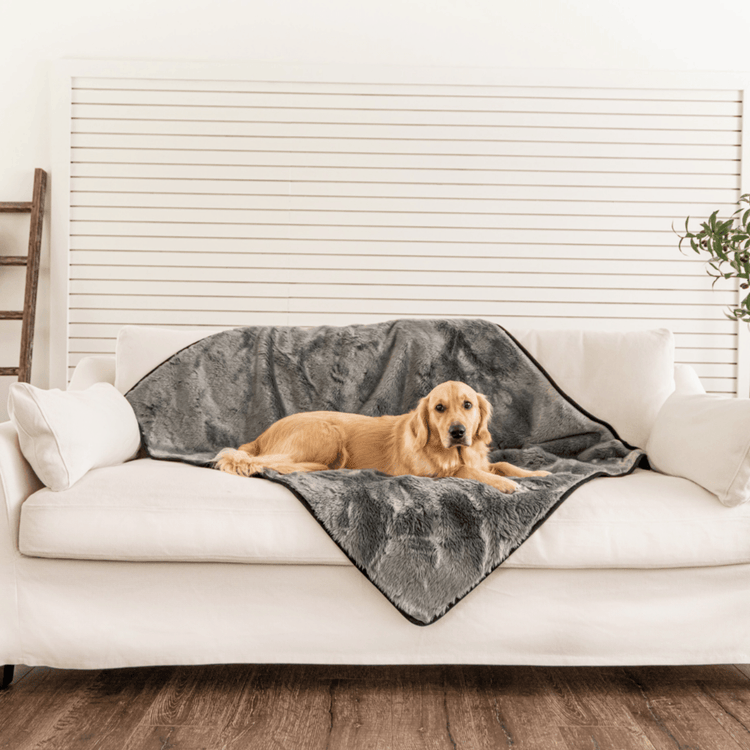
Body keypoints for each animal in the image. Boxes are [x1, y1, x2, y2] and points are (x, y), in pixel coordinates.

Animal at [214, 382, 548, 494]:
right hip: (327, 435)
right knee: (252, 461)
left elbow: (502, 464)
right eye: (439, 408)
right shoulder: (432, 475)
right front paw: (506, 484)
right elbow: (467, 471)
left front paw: (537, 473)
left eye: (468, 404)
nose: (458, 432)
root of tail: (263, 433)